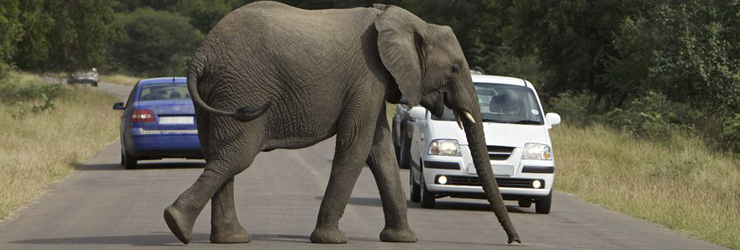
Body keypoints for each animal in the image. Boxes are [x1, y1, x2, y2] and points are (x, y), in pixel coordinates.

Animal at [162, 0, 520, 245]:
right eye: (456, 68)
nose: (514, 241)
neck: (408, 21)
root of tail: (201, 56)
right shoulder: (368, 76)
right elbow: (356, 144)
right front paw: (331, 239)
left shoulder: (375, 82)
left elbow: (380, 151)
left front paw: (403, 239)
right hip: (241, 88)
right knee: (235, 156)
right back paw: (176, 224)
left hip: (218, 93)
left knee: (219, 155)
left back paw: (226, 237)